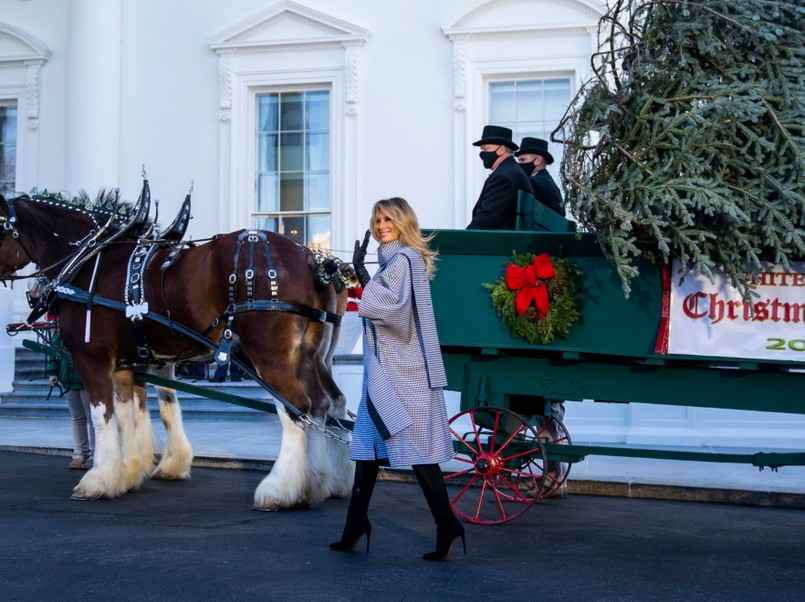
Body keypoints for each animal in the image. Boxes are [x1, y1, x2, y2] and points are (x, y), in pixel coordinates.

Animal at [0, 189, 352, 506]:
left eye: (0, 224)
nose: (33, 295)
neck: (89, 259)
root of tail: (312, 258)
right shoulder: (130, 364)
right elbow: (135, 414)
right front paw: (130, 473)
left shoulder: (93, 358)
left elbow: (103, 416)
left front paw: (98, 480)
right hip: (311, 355)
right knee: (327, 404)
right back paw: (325, 481)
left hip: (269, 354)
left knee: (296, 408)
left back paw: (280, 489)